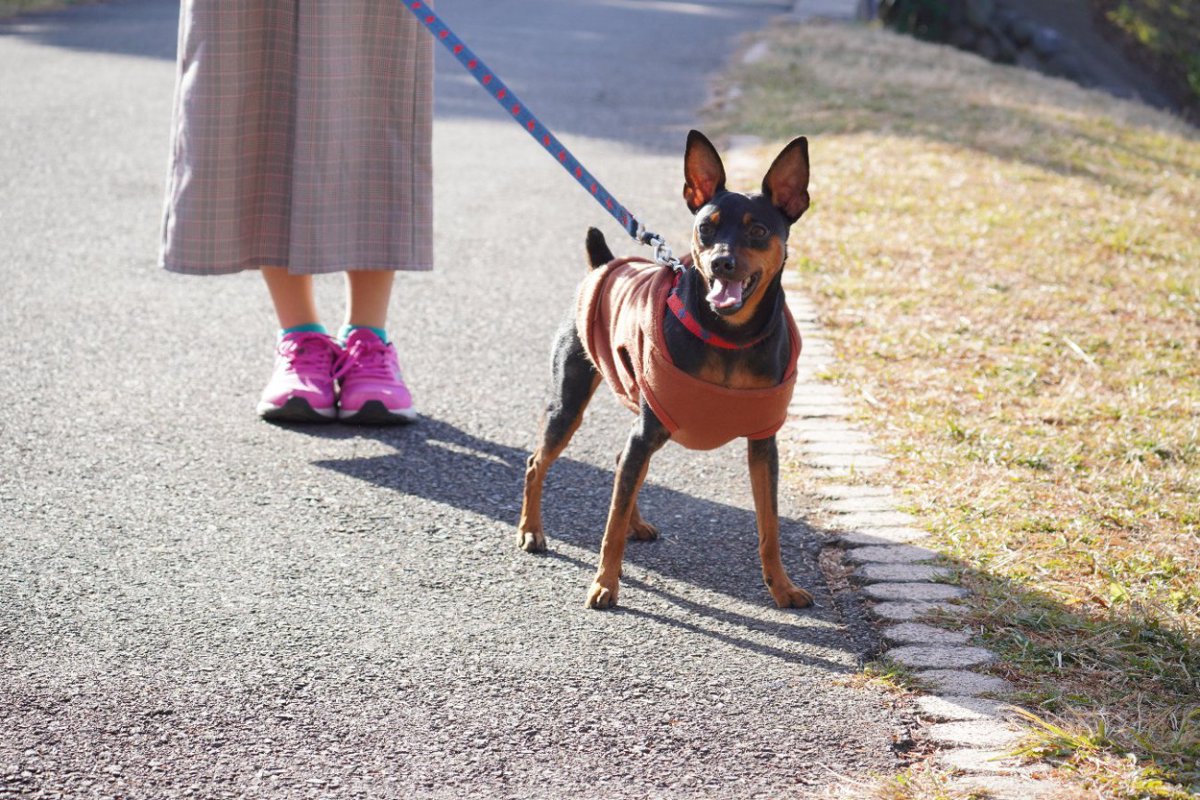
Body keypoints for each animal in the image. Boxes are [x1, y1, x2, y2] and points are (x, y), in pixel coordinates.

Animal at [518, 131, 816, 609]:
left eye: (758, 230)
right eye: (706, 227)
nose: (721, 262)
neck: (728, 337)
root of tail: (604, 262)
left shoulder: (763, 442)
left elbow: (769, 527)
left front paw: (782, 587)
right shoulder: (646, 428)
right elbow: (610, 525)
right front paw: (605, 584)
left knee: (622, 464)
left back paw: (635, 523)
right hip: (572, 403)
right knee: (538, 462)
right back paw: (531, 530)